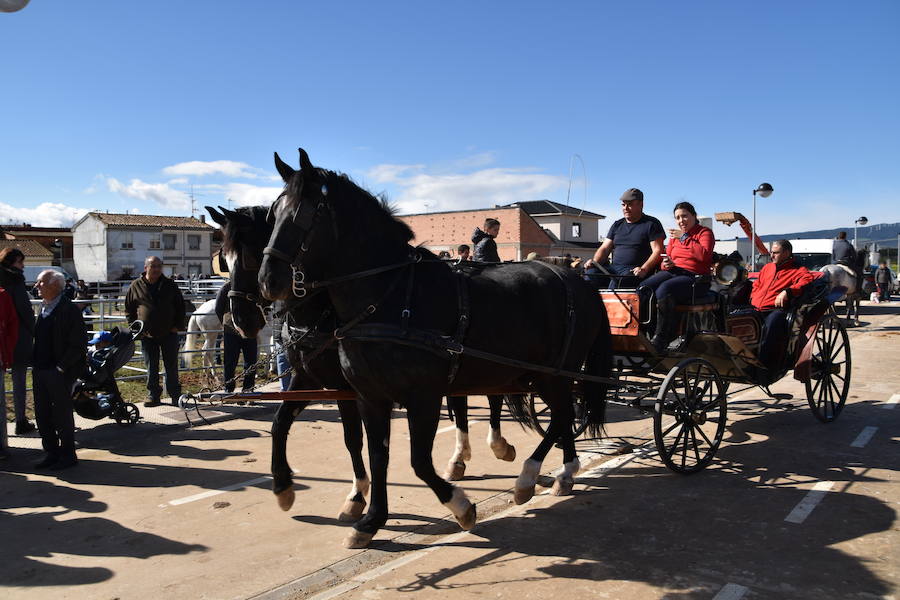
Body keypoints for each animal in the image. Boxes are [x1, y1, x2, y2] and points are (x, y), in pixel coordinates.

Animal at [207, 205, 370, 520]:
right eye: (224, 260)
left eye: (248, 257)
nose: (239, 321)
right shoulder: (307, 378)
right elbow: (279, 422)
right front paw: (283, 485)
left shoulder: (346, 388)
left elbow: (353, 437)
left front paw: (357, 495)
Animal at [256, 150, 616, 548]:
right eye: (272, 215)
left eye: (305, 214)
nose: (268, 281)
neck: (391, 298)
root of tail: (578, 279)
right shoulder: (366, 395)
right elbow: (375, 454)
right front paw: (370, 519)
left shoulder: (422, 396)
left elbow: (417, 461)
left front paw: (460, 506)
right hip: (538, 376)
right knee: (564, 416)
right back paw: (564, 472)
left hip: (553, 374)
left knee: (563, 416)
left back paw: (530, 476)